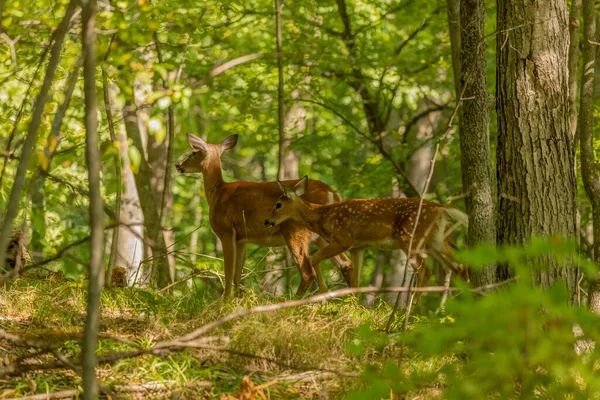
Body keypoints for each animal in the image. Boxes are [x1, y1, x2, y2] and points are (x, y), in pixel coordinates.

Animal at [173, 134, 352, 296]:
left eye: (194, 152)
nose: (178, 164)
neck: (218, 192)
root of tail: (332, 194)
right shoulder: (242, 238)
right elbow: (238, 274)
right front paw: (236, 300)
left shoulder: (226, 231)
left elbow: (229, 271)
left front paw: (224, 302)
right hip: (322, 235)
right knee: (345, 263)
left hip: (295, 229)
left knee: (308, 272)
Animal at [264, 177, 472, 292]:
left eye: (278, 204)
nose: (267, 221)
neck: (321, 216)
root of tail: (441, 208)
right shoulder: (359, 247)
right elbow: (356, 280)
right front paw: (355, 307)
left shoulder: (344, 238)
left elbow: (315, 259)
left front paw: (324, 293)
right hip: (436, 241)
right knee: (459, 265)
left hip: (409, 238)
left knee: (425, 269)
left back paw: (413, 310)